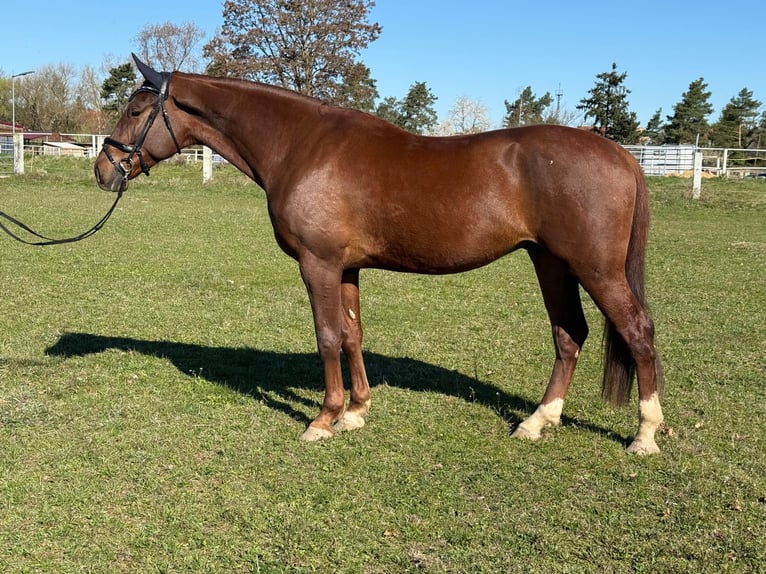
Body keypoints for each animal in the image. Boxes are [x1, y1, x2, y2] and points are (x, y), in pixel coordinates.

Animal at [94, 55, 665, 454]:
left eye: (136, 110)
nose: (103, 171)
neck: (302, 145)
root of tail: (618, 153)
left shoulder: (319, 265)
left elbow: (326, 336)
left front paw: (323, 420)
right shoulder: (346, 267)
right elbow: (352, 334)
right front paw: (356, 412)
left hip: (595, 269)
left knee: (637, 331)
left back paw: (645, 434)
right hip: (550, 263)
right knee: (570, 335)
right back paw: (537, 421)